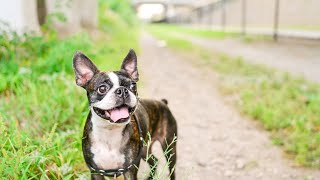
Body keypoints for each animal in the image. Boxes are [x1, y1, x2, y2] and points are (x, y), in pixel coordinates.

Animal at [72, 49, 178, 180]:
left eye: (133, 85)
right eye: (102, 88)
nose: (122, 90)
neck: (109, 132)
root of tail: (163, 102)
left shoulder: (130, 170)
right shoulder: (95, 172)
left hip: (169, 147)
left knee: (171, 168)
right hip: (144, 150)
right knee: (154, 160)